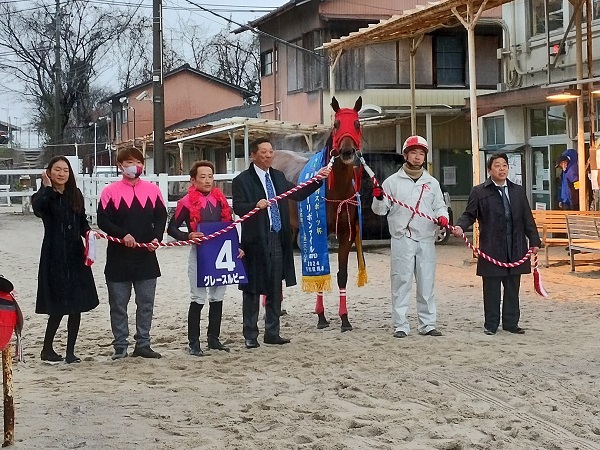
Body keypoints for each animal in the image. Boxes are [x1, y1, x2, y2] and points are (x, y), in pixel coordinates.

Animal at [272, 97, 366, 330]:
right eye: (337, 124)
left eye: (356, 124)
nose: (347, 152)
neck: (335, 189)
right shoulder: (317, 228)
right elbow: (320, 272)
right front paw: (321, 316)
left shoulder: (346, 234)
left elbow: (342, 275)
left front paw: (344, 319)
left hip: (290, 229)